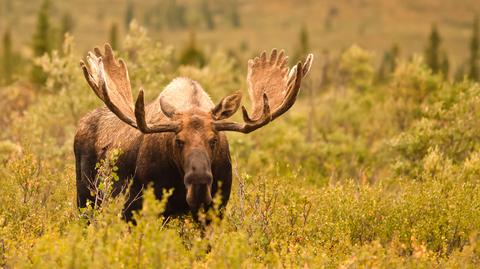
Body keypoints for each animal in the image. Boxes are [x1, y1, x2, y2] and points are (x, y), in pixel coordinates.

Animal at [75, 44, 314, 220]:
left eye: (214, 140)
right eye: (178, 141)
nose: (199, 183)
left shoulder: (214, 210)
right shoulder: (136, 208)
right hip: (86, 197)